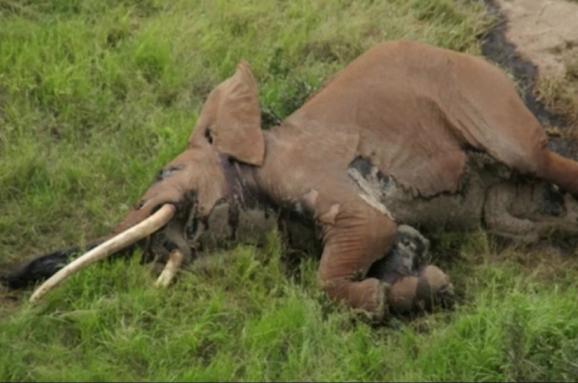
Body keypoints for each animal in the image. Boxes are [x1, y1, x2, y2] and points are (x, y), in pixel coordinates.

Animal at [4, 40, 576, 322]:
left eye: (164, 173)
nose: (17, 279)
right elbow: (400, 237)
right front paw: (423, 286)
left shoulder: (306, 170)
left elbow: (366, 232)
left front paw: (384, 299)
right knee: (511, 219)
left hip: (481, 97)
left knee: (534, 156)